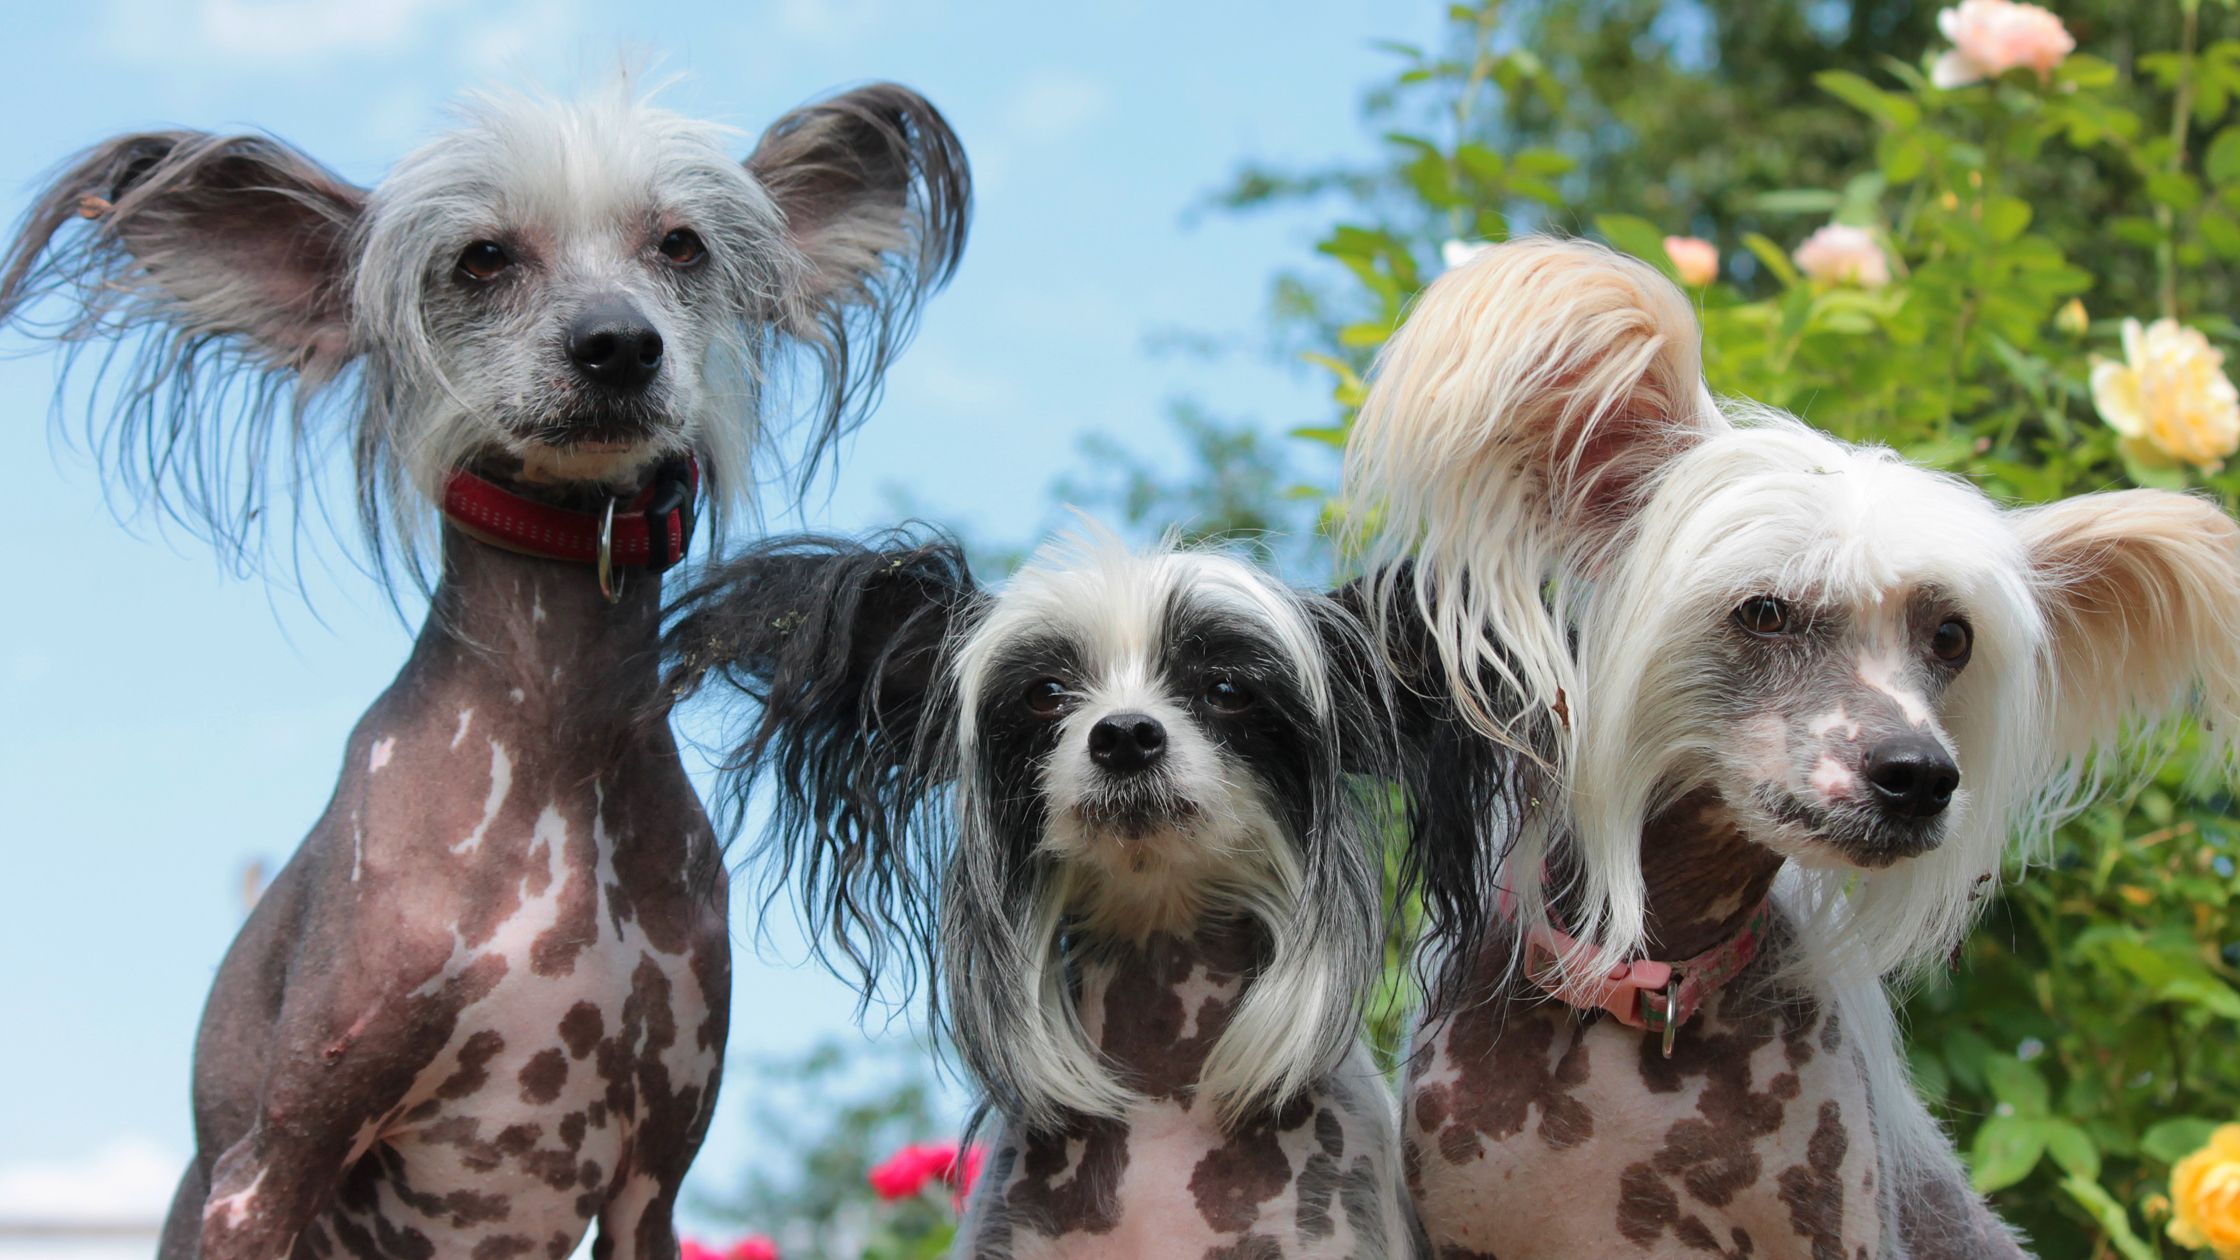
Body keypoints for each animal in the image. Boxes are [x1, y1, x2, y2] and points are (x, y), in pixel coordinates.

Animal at [8, 80, 972, 1255]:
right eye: (481, 257)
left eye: (681, 245)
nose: (618, 343)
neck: (558, 744)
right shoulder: (263, 1177)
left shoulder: (655, 1186)